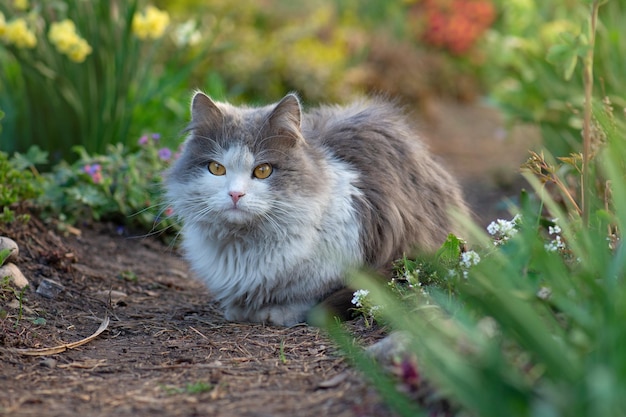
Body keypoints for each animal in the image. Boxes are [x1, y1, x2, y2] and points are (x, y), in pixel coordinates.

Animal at [163, 92, 466, 324]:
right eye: (216, 168)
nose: (235, 194)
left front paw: (274, 313)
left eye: (263, 170)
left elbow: (306, 296)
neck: (244, 245)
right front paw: (239, 310)